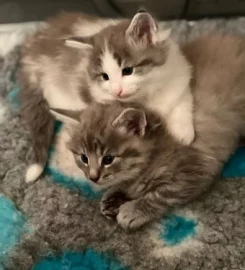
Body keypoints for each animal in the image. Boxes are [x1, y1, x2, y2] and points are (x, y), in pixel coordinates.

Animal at [19, 10, 193, 184]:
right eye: (105, 76)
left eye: (127, 70)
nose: (117, 91)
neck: (146, 94)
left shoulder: (179, 76)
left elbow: (182, 100)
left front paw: (183, 133)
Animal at [50, 34, 245, 230]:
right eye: (83, 158)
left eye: (108, 159)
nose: (93, 178)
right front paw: (115, 195)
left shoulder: (196, 169)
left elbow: (162, 194)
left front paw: (133, 210)